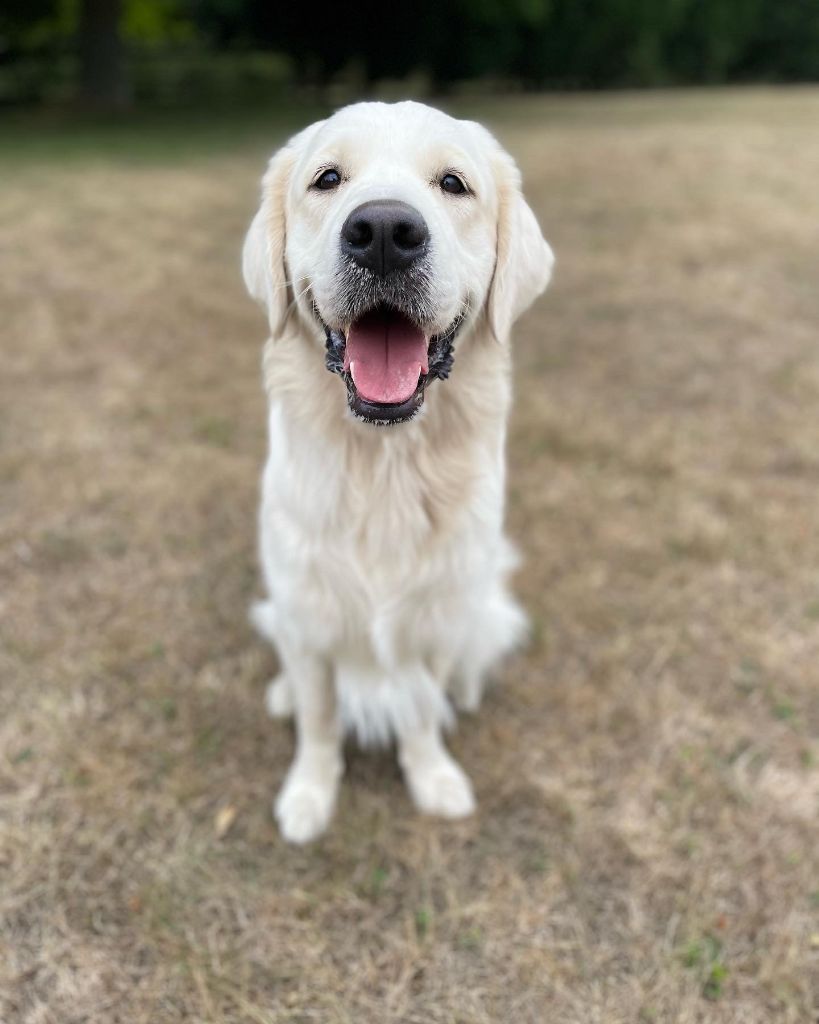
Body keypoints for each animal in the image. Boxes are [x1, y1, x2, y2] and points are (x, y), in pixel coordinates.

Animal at [239, 99, 552, 843]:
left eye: (454, 183)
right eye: (327, 178)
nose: (383, 232)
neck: (383, 464)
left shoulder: (432, 621)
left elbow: (419, 711)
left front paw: (432, 776)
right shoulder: (309, 617)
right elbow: (319, 719)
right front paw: (309, 794)